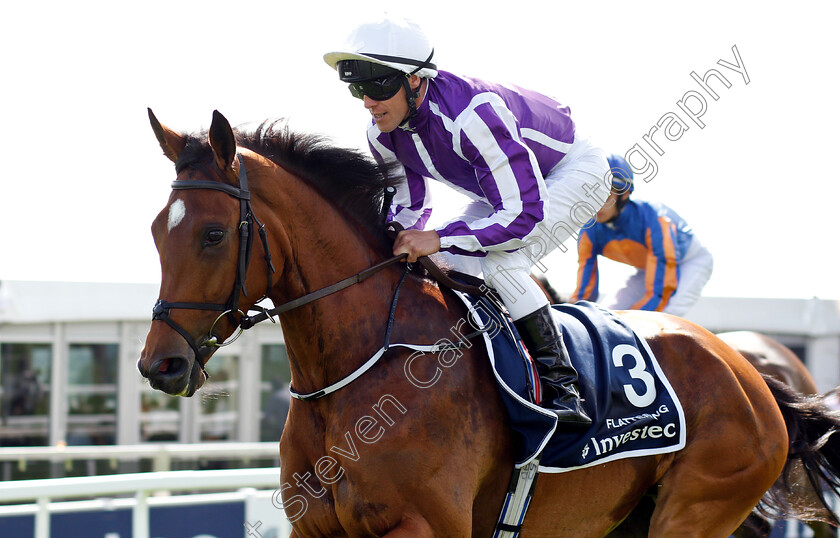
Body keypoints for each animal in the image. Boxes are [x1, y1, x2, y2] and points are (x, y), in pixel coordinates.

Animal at [141, 107, 840, 532]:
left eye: (212, 234)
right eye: (154, 232)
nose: (160, 364)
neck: (360, 370)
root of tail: (747, 372)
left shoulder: (425, 526)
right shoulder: (315, 528)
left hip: (696, 506)